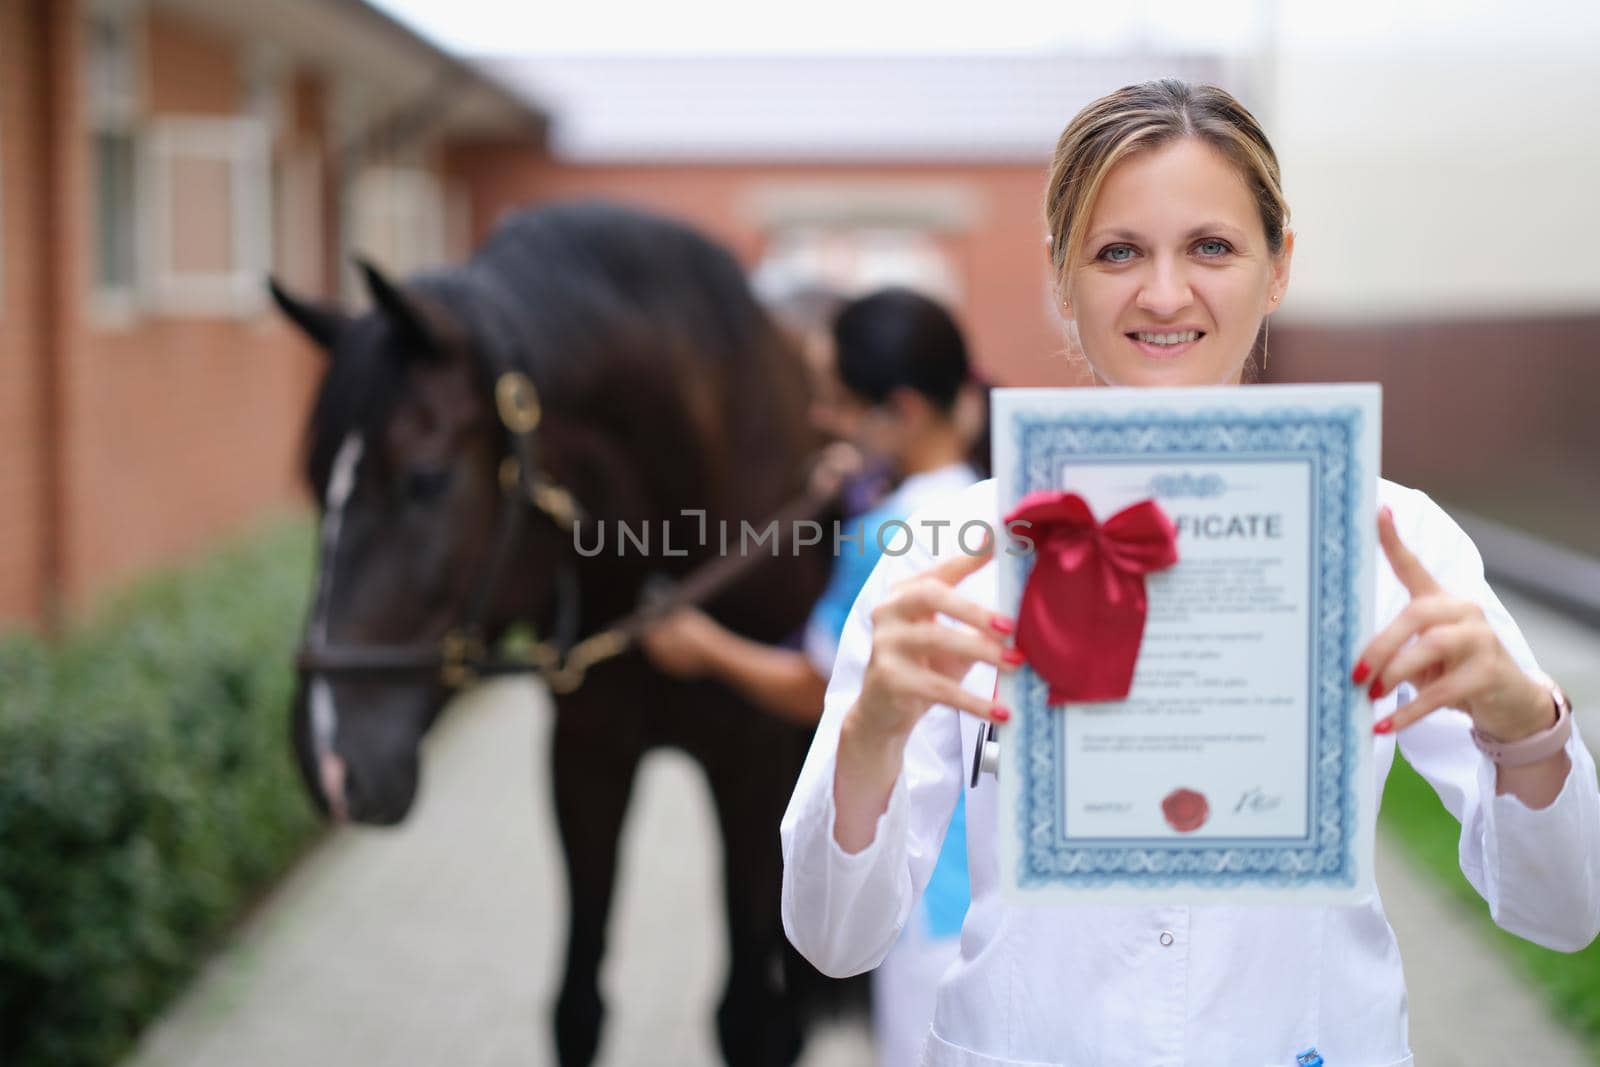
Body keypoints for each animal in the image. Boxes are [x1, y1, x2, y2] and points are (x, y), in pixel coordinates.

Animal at [273, 202, 844, 1067]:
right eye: (312, 481)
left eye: (424, 479)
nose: (329, 756)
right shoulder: (586, 754)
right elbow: (577, 1007)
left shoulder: (753, 764)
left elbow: (748, 1017)